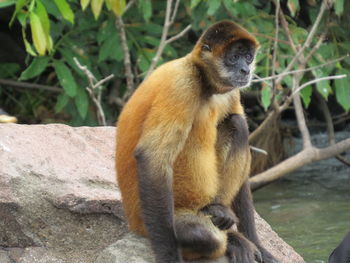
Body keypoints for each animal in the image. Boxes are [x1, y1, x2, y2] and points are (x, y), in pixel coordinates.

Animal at [116, 21, 278, 263]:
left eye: (248, 57)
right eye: (234, 57)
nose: (245, 70)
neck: (204, 81)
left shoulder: (231, 90)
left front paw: (259, 245)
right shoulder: (182, 83)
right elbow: (152, 157)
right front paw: (169, 257)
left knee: (237, 123)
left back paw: (221, 216)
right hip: (154, 218)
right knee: (205, 236)